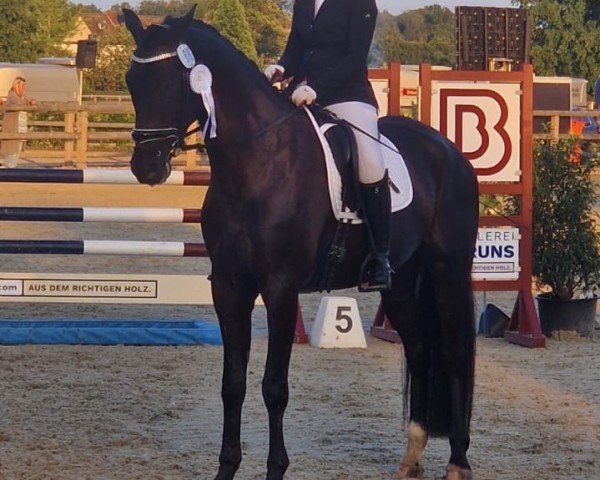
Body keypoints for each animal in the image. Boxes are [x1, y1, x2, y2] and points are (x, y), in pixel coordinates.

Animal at [124, 7, 480, 480]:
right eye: (132, 80)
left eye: (171, 81)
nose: (146, 167)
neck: (258, 163)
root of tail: (450, 151)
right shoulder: (230, 286)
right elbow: (232, 383)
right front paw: (227, 467)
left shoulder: (279, 288)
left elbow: (274, 387)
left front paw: (276, 468)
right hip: (402, 281)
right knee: (420, 347)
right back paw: (412, 457)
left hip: (448, 272)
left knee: (456, 353)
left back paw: (457, 462)